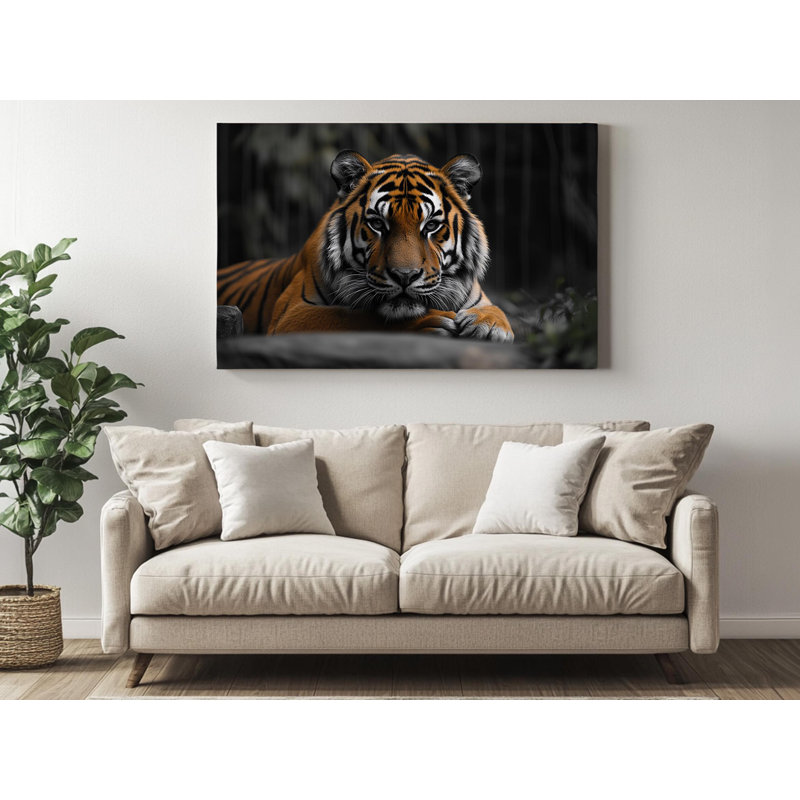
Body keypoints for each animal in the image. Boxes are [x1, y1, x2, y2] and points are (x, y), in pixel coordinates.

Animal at [217, 150, 514, 342]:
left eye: (430, 225)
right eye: (377, 224)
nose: (405, 276)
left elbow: (496, 311)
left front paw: (488, 325)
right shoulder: (291, 315)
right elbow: (352, 317)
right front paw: (429, 323)